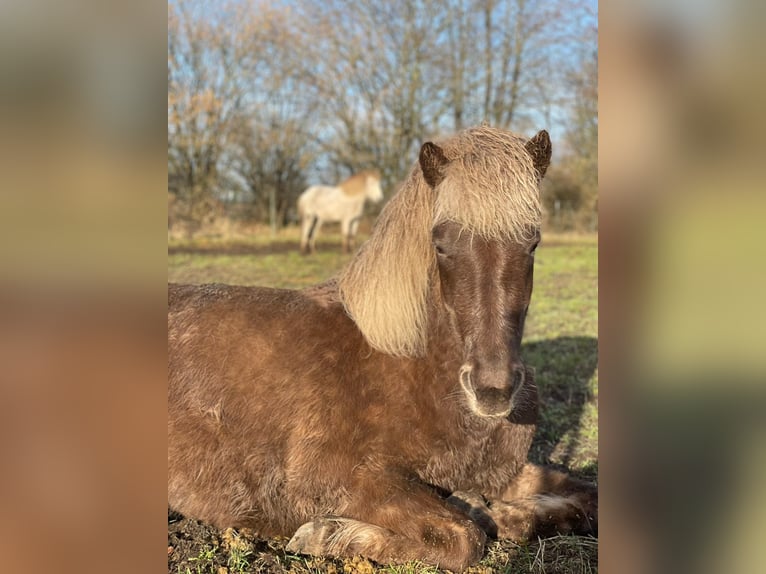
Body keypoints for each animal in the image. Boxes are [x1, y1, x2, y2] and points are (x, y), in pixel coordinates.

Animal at [168, 125, 597, 572]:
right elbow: (464, 537)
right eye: (440, 244)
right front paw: (328, 535)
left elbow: (586, 498)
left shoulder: (500, 470)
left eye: (533, 243)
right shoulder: (344, 481)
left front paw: (496, 511)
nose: (492, 391)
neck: (412, 369)